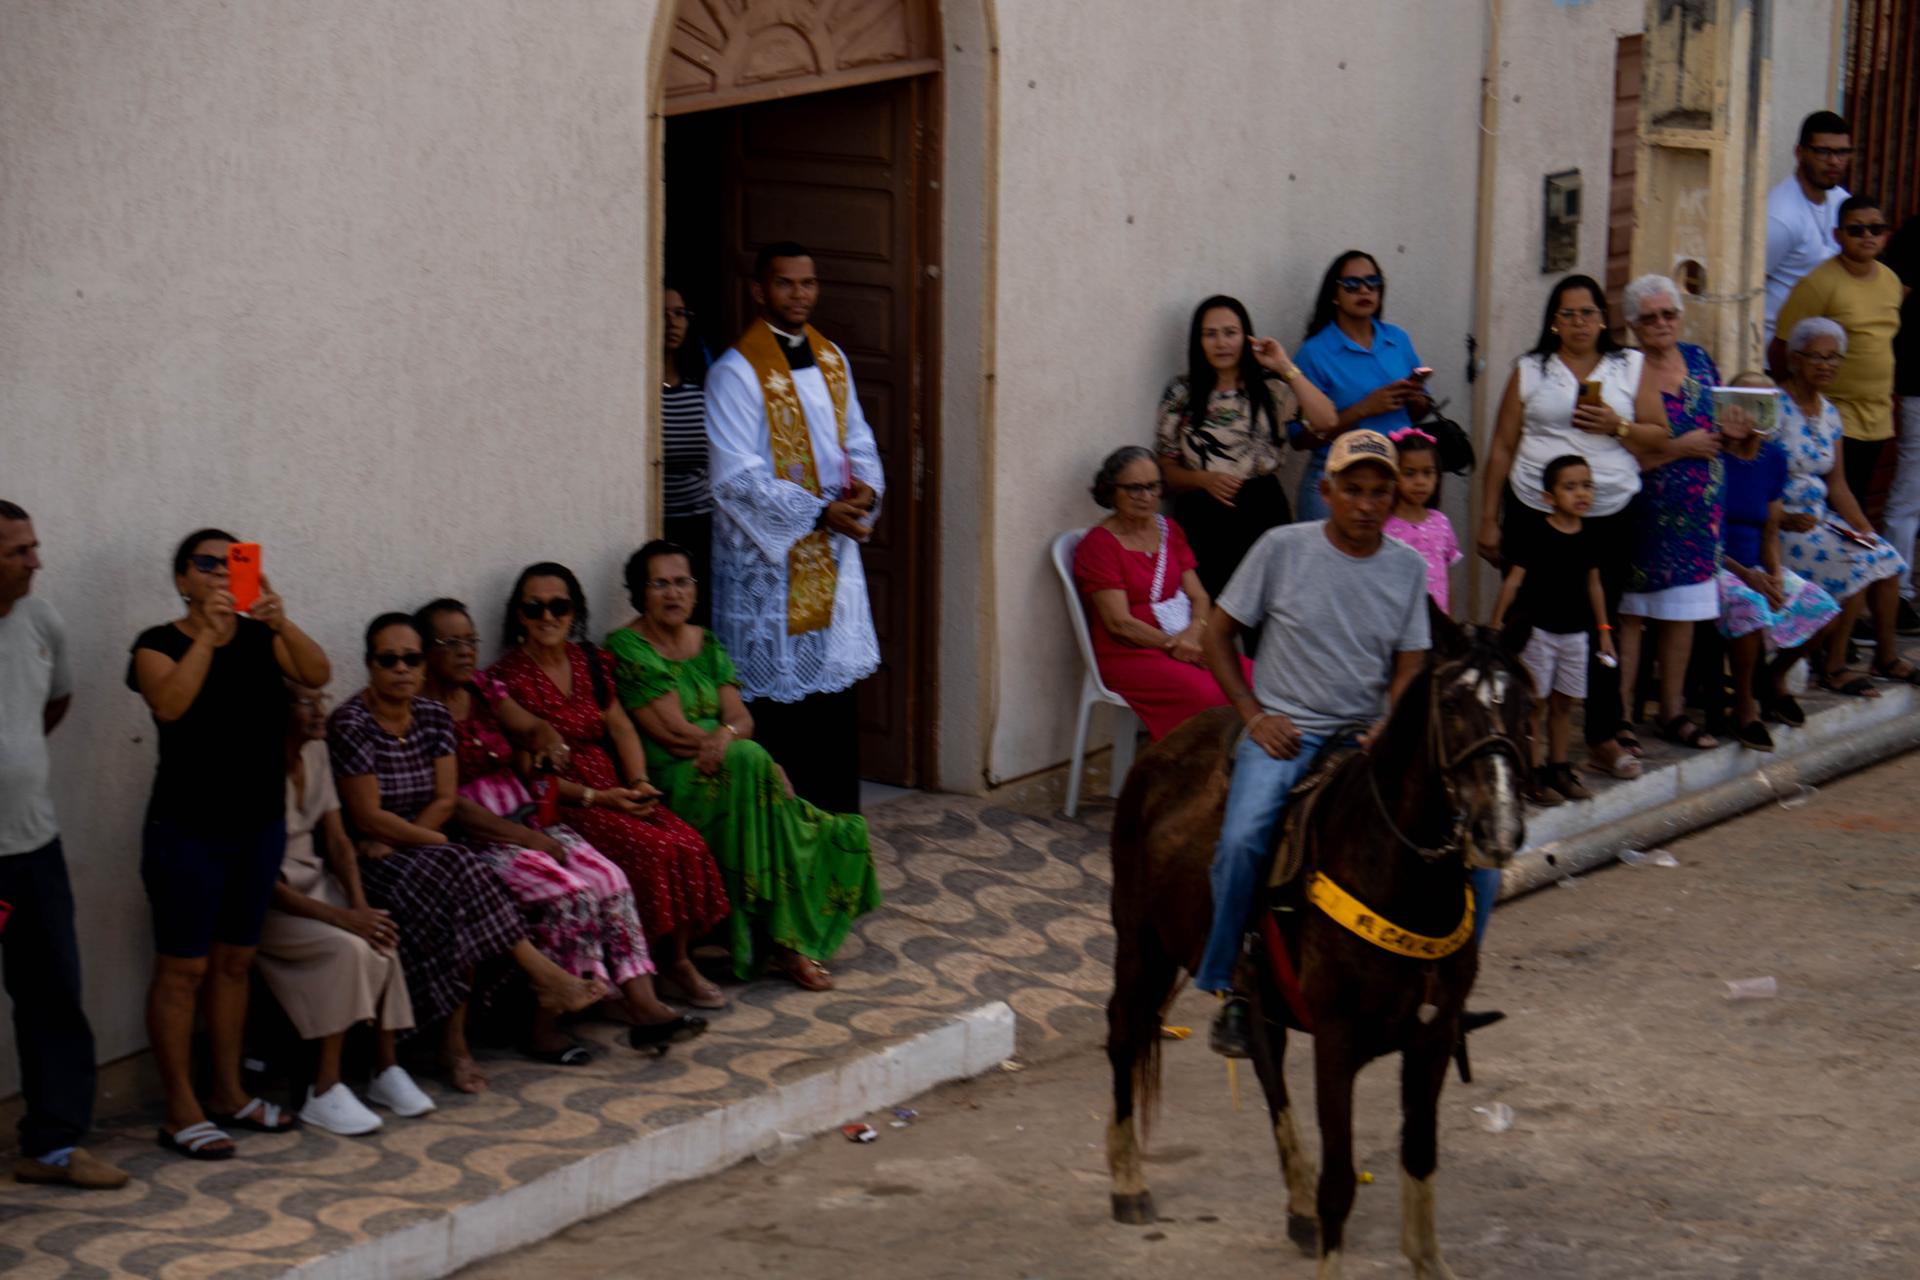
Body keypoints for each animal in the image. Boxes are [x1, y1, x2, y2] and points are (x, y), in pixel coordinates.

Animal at [1103, 611, 1531, 1279]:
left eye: (1521, 703)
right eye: (1452, 703)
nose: (1500, 828)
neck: (1396, 871)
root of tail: (1160, 752)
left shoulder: (1433, 1037)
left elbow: (1419, 1156)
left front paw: (1427, 1260)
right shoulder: (1337, 1038)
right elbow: (1341, 1183)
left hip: (1257, 988)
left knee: (1265, 1061)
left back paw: (1296, 1204)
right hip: (1141, 943)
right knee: (1125, 1032)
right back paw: (1128, 1183)